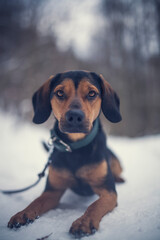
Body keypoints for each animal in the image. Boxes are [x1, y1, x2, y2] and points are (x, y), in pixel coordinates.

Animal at [8, 70, 124, 237]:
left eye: (92, 93)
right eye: (60, 93)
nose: (75, 116)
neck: (74, 147)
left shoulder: (108, 191)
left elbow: (95, 205)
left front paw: (84, 222)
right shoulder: (53, 191)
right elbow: (36, 201)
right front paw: (23, 214)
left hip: (115, 161)